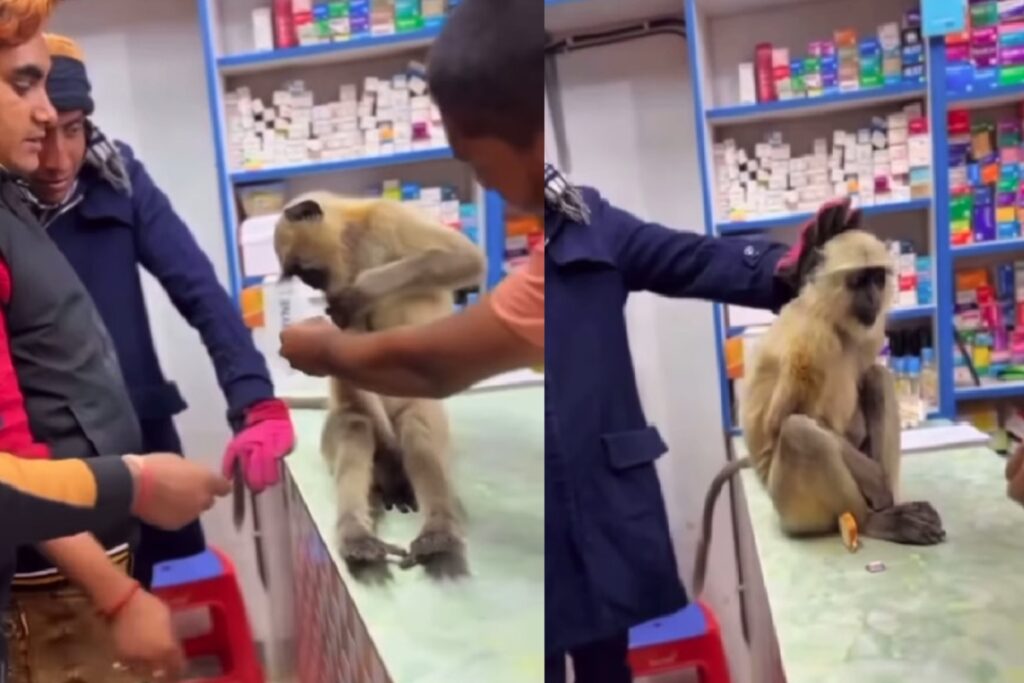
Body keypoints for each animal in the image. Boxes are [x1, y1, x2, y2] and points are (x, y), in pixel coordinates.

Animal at [274, 191, 486, 571]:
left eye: (307, 274)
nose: (315, 289)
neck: (352, 241)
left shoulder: (387, 218)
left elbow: (466, 259)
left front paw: (363, 289)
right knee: (357, 425)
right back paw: (359, 536)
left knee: (417, 428)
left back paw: (437, 531)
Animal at [690, 229, 944, 595]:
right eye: (859, 281)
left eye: (877, 279)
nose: (873, 297)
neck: (830, 317)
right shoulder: (812, 341)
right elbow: (780, 423)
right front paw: (878, 484)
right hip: (791, 505)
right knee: (799, 431)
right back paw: (872, 520)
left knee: (876, 378)